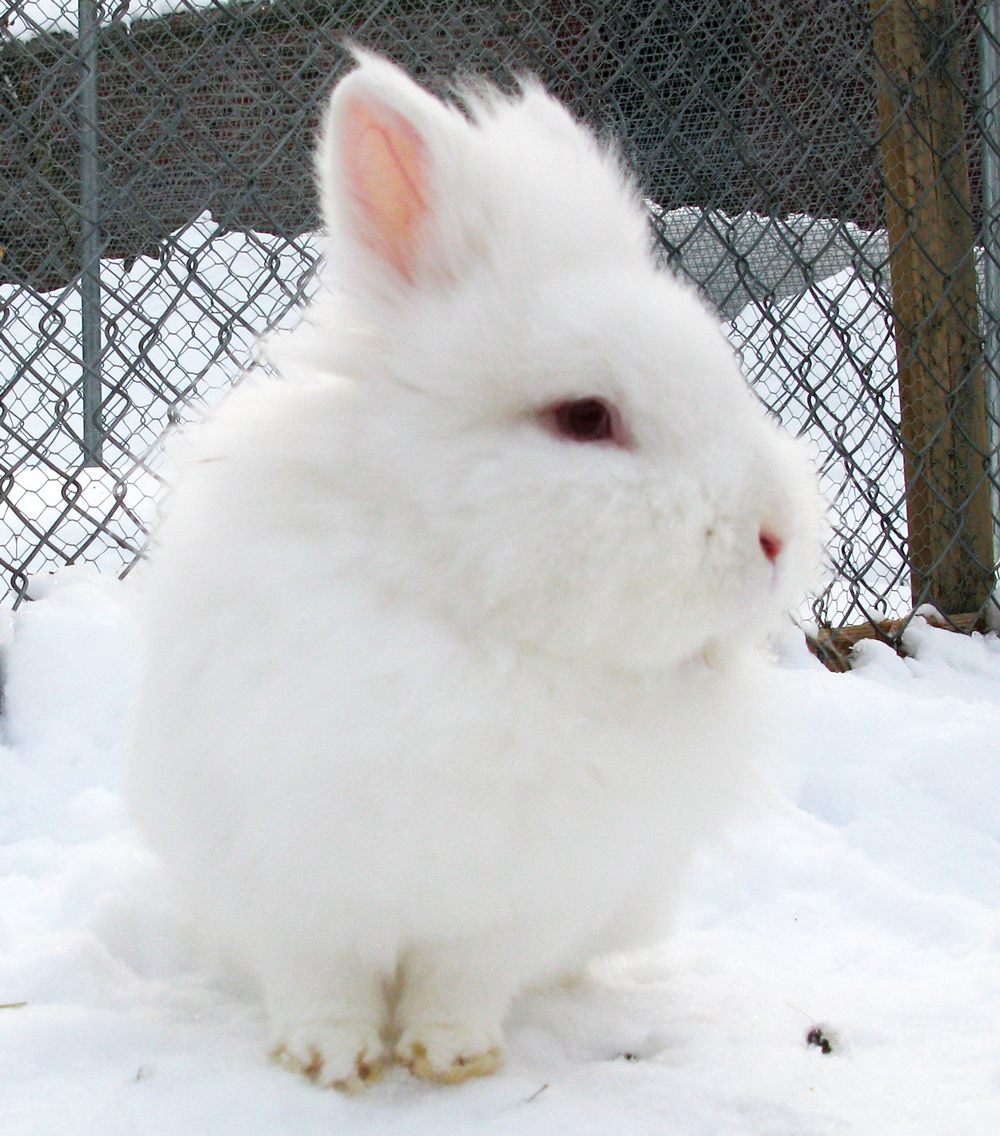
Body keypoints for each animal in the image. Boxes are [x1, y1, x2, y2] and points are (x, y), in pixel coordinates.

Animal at [126, 51, 823, 1092]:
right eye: (585, 417)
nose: (777, 534)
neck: (475, 629)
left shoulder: (519, 902)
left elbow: (462, 982)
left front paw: (453, 1058)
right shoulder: (290, 872)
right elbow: (319, 977)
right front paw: (329, 1060)